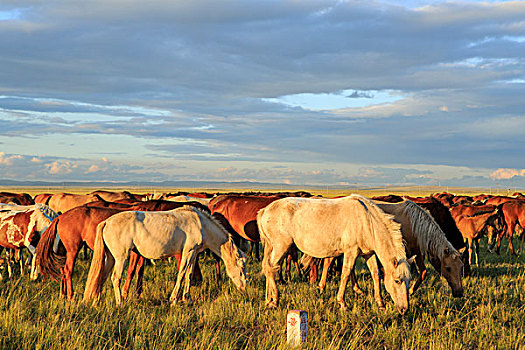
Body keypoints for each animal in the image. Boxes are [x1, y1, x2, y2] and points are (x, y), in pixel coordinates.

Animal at [83, 206, 247, 308]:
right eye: (241, 267)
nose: (244, 287)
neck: (202, 224)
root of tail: (106, 222)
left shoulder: (193, 253)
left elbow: (189, 275)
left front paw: (187, 299)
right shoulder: (188, 251)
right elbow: (181, 274)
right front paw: (174, 300)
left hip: (111, 258)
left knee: (102, 277)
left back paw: (96, 302)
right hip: (121, 257)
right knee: (115, 278)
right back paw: (120, 303)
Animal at [256, 194, 412, 314]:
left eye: (408, 280)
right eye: (397, 281)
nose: (404, 309)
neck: (367, 221)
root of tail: (265, 210)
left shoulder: (368, 253)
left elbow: (375, 274)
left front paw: (380, 304)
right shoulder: (351, 251)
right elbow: (346, 273)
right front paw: (342, 303)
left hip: (271, 247)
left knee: (268, 268)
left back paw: (268, 300)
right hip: (281, 246)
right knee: (271, 268)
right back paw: (275, 300)